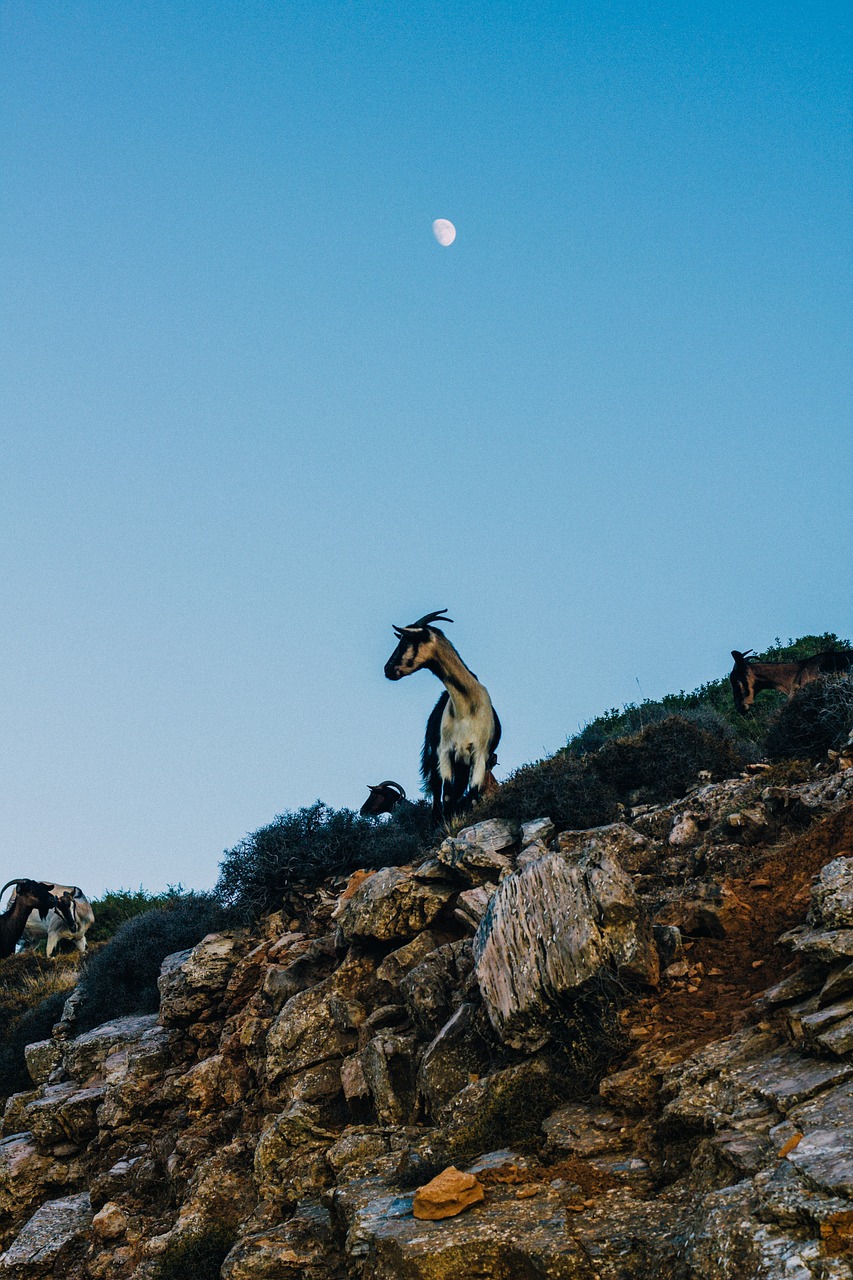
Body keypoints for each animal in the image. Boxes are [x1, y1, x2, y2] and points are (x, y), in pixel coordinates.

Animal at [379, 606, 499, 824]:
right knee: (437, 790)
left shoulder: (480, 754)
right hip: (435, 755)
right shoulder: (444, 751)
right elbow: (447, 794)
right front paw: (446, 823)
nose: (387, 669)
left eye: (408, 641)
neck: (466, 706)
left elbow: (472, 794)